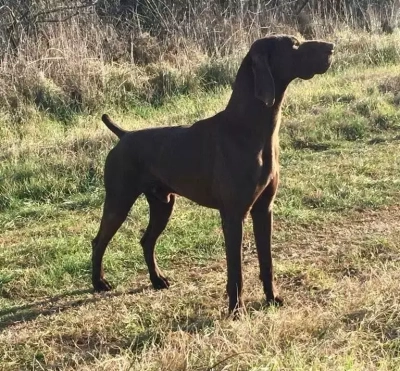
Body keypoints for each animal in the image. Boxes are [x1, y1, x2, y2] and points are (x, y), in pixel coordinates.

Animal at [91, 35, 334, 316]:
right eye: (293, 44)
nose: (332, 47)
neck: (249, 129)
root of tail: (125, 135)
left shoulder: (264, 210)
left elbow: (267, 262)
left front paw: (272, 298)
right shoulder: (233, 216)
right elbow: (236, 271)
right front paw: (236, 310)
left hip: (163, 204)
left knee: (146, 240)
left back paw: (157, 279)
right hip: (119, 201)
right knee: (98, 241)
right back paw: (99, 282)